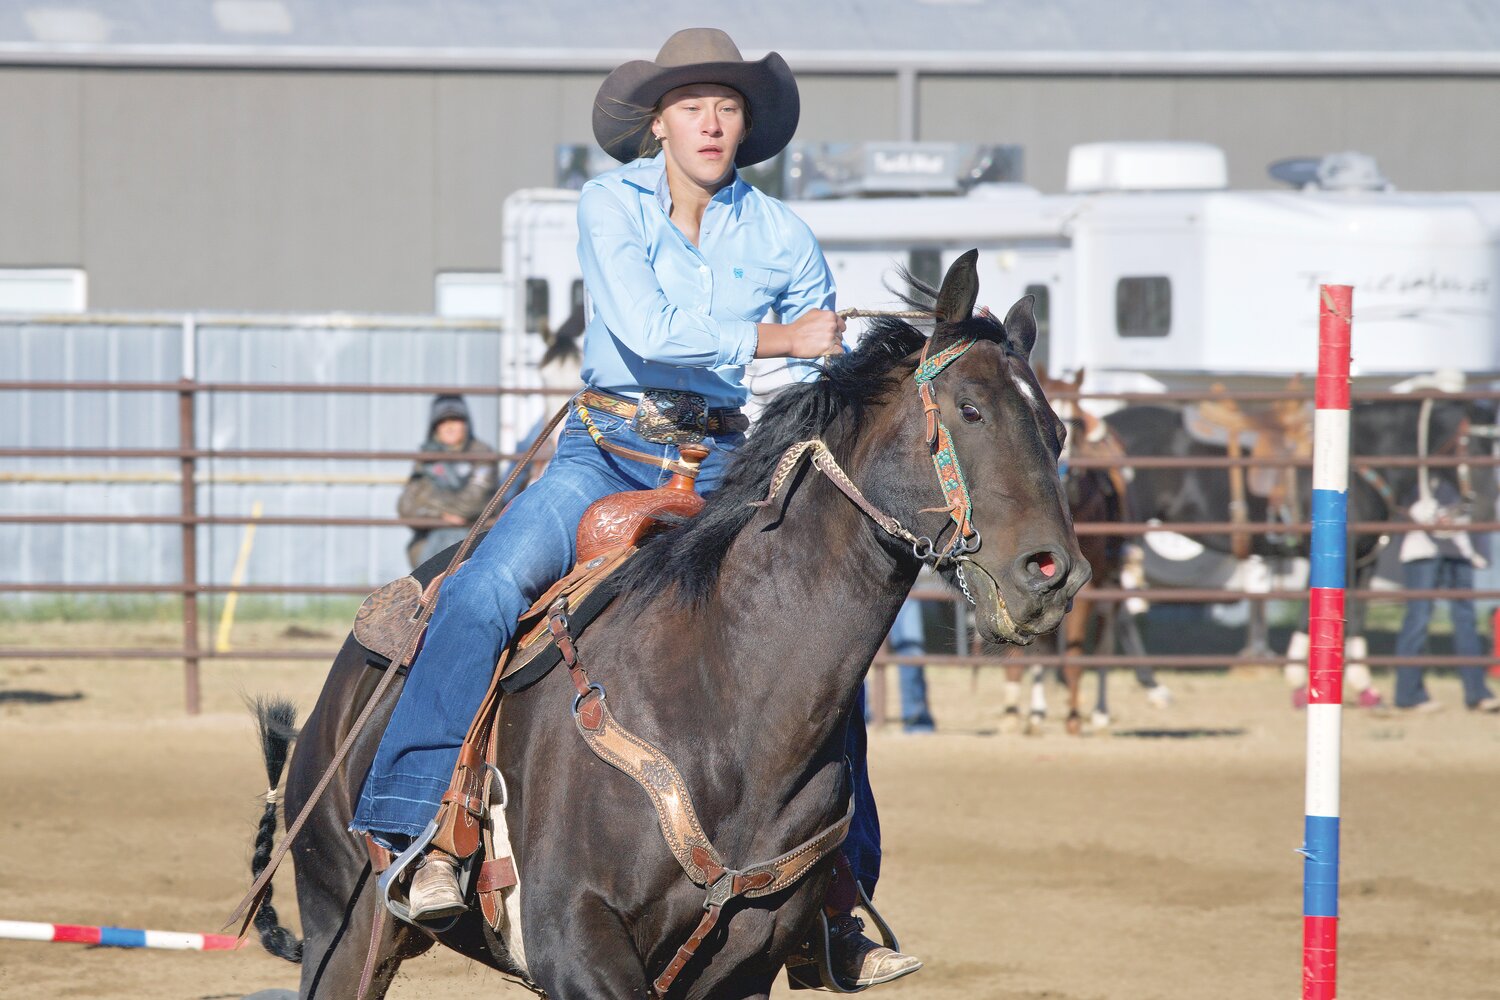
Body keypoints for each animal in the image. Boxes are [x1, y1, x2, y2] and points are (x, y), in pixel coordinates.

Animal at [249, 251, 1092, 1000]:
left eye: (1056, 432)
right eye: (970, 409)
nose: (1055, 573)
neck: (728, 693)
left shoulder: (743, 966)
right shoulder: (576, 945)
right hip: (344, 931)